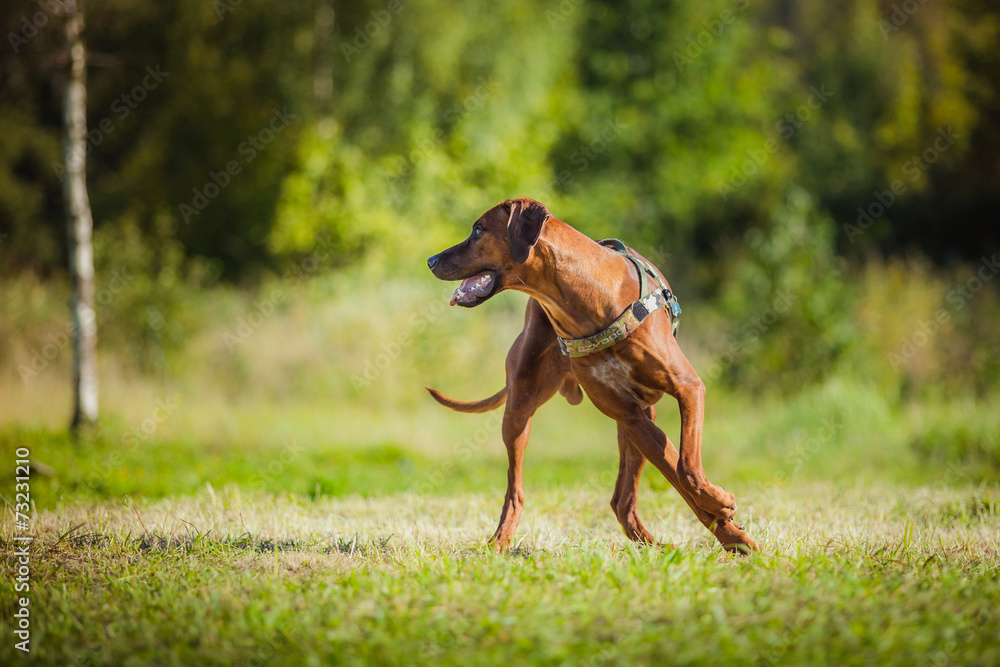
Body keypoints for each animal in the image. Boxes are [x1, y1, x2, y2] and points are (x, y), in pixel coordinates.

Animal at [422, 197, 756, 552]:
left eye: (478, 230)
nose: (430, 260)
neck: (586, 303)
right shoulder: (631, 416)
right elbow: (680, 473)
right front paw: (728, 521)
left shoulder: (686, 388)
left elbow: (687, 466)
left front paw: (729, 525)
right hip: (521, 410)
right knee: (517, 490)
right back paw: (500, 541)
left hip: (637, 424)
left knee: (623, 500)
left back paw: (654, 546)